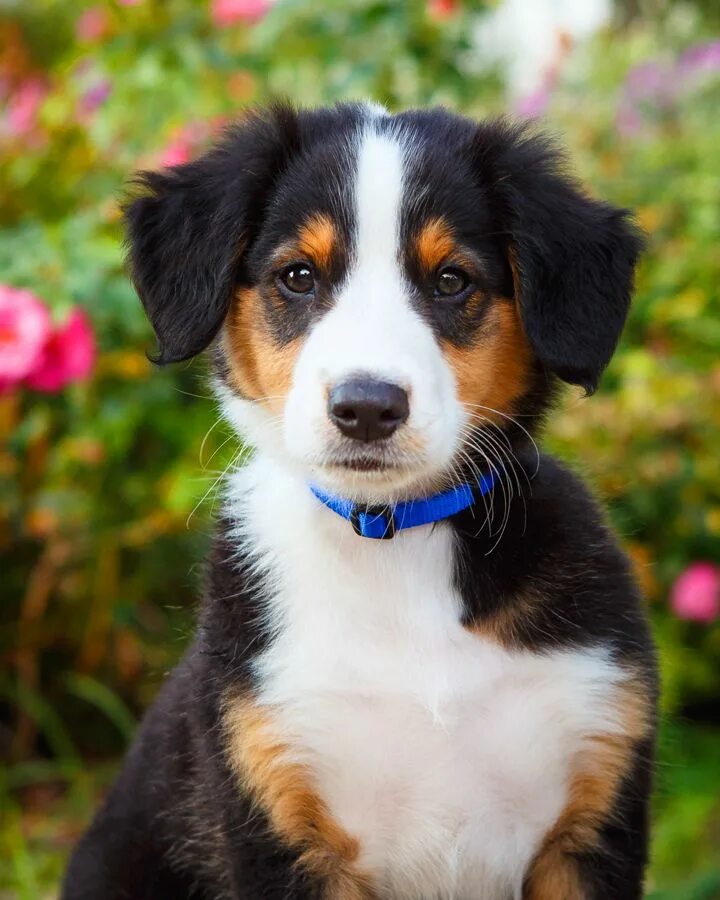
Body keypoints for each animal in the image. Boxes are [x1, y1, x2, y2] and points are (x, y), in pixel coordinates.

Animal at [63, 103, 660, 900]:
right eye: (298, 276)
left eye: (451, 281)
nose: (368, 408)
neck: (395, 539)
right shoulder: (281, 827)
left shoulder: (589, 826)